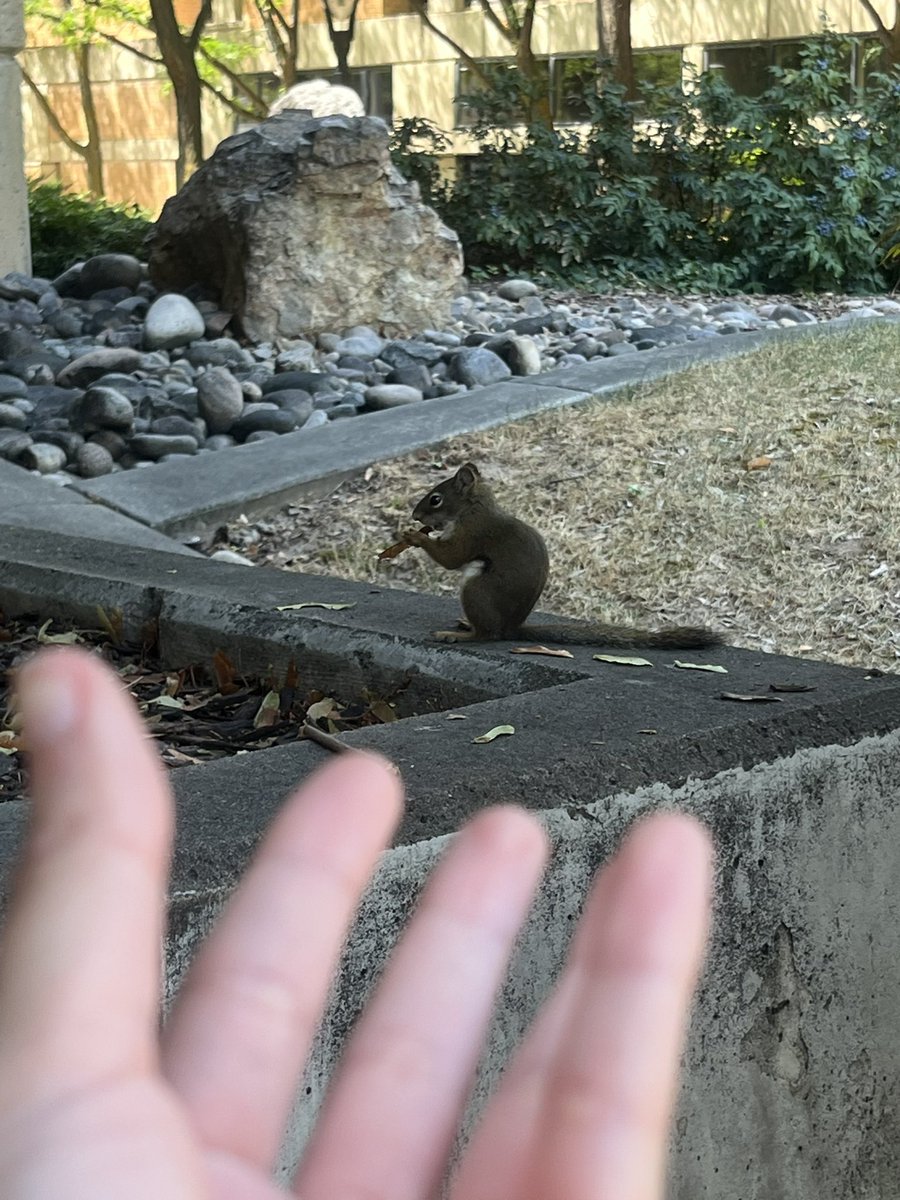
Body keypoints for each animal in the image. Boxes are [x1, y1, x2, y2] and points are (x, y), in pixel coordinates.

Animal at [401, 462, 722, 648]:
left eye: (435, 499)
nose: (415, 516)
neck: (473, 507)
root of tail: (513, 629)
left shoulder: (474, 532)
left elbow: (452, 558)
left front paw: (414, 537)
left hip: (477, 590)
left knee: (487, 635)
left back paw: (460, 635)